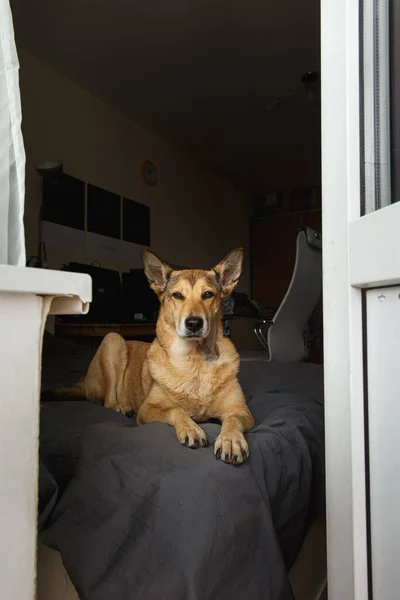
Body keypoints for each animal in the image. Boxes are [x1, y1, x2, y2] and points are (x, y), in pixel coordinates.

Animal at [53, 248, 255, 464]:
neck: (195, 360)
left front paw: (231, 440)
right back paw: (122, 406)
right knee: (108, 400)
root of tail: (83, 380)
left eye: (208, 294)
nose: (194, 323)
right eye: (177, 295)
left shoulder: (242, 410)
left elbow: (233, 419)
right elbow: (176, 409)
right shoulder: (147, 410)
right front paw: (191, 428)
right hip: (113, 339)